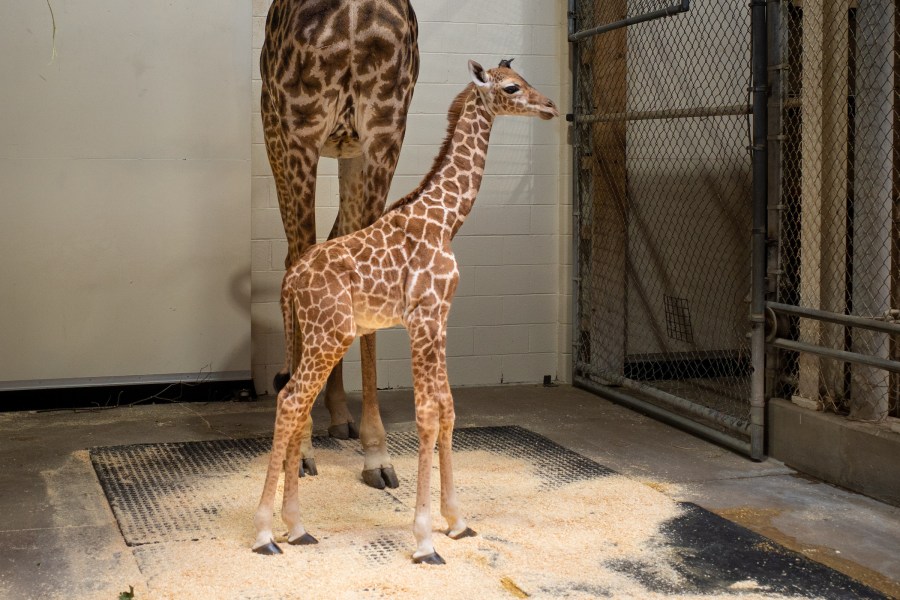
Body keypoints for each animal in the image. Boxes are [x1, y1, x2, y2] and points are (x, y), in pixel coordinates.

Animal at [252, 59, 559, 563]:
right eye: (514, 88)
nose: (550, 106)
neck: (447, 218)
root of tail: (290, 282)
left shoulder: (442, 317)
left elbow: (448, 408)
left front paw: (458, 522)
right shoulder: (423, 318)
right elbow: (427, 415)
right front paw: (424, 540)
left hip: (319, 336)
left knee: (296, 404)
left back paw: (296, 528)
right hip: (330, 335)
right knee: (291, 400)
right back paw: (264, 534)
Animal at [260, 0, 419, 489]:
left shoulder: (385, 133)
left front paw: (377, 453)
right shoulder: (299, 128)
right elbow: (301, 264)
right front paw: (300, 447)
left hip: (340, 148)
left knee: (333, 253)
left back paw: (339, 415)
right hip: (278, 131)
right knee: (296, 257)